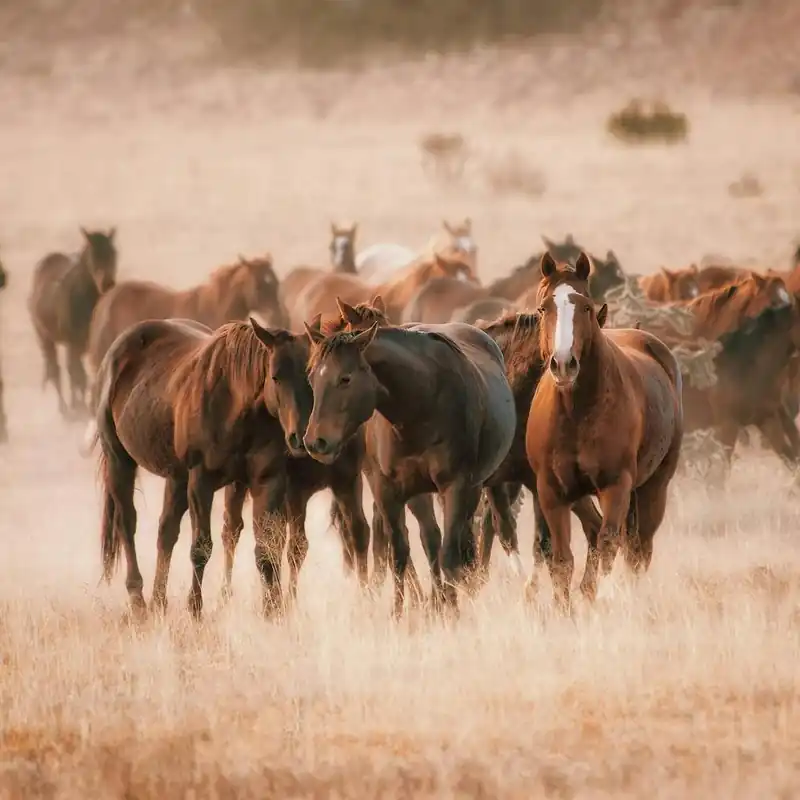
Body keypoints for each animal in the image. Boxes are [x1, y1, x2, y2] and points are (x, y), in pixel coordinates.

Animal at [28, 227, 118, 418]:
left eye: (114, 253)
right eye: (92, 255)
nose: (108, 284)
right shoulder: (73, 343)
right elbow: (77, 374)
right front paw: (81, 407)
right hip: (46, 339)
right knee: (56, 370)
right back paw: (65, 409)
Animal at [90, 316, 317, 619]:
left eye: (312, 377)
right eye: (275, 377)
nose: (299, 438)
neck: (237, 407)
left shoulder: (267, 481)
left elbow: (266, 548)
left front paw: (273, 609)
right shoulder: (201, 482)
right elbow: (201, 547)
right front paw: (195, 609)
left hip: (175, 478)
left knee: (166, 531)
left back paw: (158, 601)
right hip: (120, 462)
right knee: (127, 524)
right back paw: (138, 600)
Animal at [303, 320, 517, 616]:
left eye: (345, 378)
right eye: (312, 378)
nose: (316, 442)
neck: (420, 406)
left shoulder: (457, 487)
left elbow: (450, 555)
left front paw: (453, 613)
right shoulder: (387, 492)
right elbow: (400, 555)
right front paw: (398, 614)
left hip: (482, 485)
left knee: (485, 531)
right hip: (419, 494)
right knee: (430, 539)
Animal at [526, 284, 683, 613]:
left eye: (586, 308)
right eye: (544, 308)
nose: (563, 364)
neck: (577, 411)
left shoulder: (616, 485)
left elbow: (608, 542)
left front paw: (602, 597)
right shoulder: (552, 492)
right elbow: (562, 558)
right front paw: (564, 608)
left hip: (654, 487)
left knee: (639, 548)